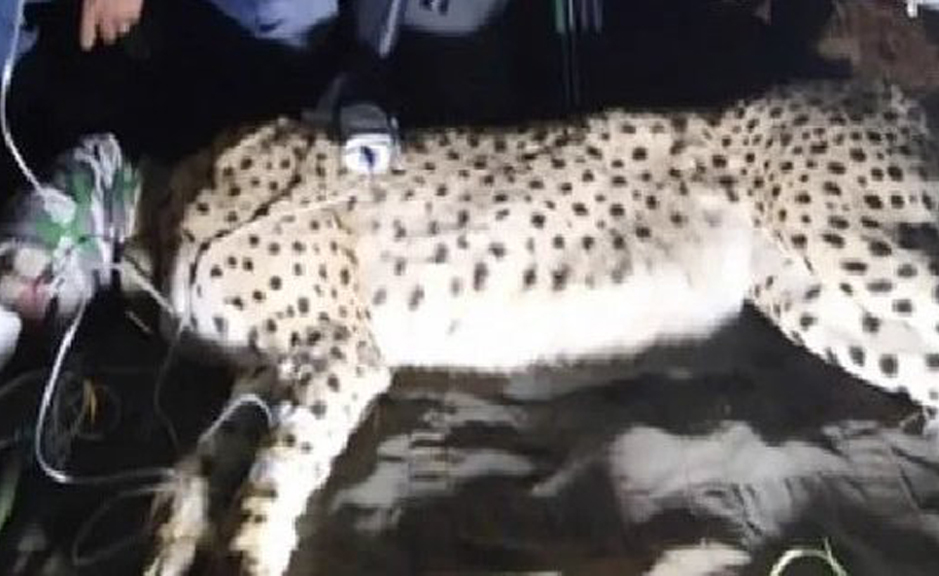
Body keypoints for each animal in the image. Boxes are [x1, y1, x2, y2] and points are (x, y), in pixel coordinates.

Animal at [135, 78, 939, 576]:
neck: (166, 200)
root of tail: (877, 87)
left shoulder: (341, 353)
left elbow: (270, 478)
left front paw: (245, 551)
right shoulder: (266, 371)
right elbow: (200, 461)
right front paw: (172, 543)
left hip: (840, 238)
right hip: (810, 296)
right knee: (924, 370)